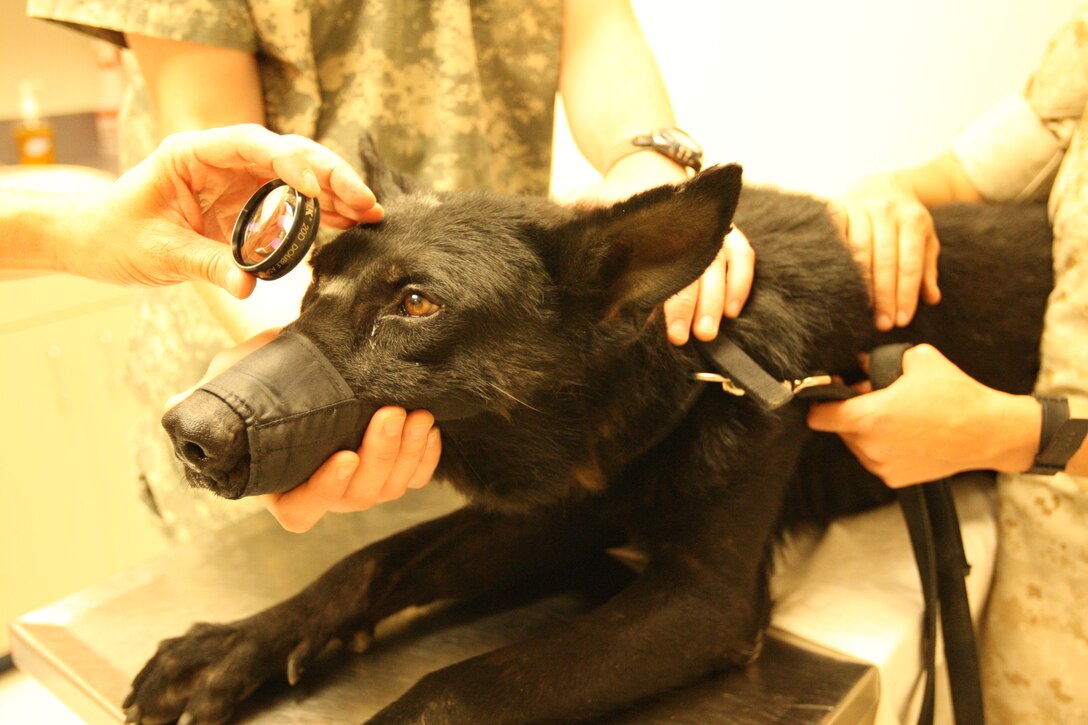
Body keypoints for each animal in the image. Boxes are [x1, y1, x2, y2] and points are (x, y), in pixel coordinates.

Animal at [123, 143, 1048, 718]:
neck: (692, 360)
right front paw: (238, 644)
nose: (188, 433)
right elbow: (371, 560)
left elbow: (459, 687)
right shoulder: (565, 511)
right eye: (316, 278)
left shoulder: (703, 598)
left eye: (416, 303)